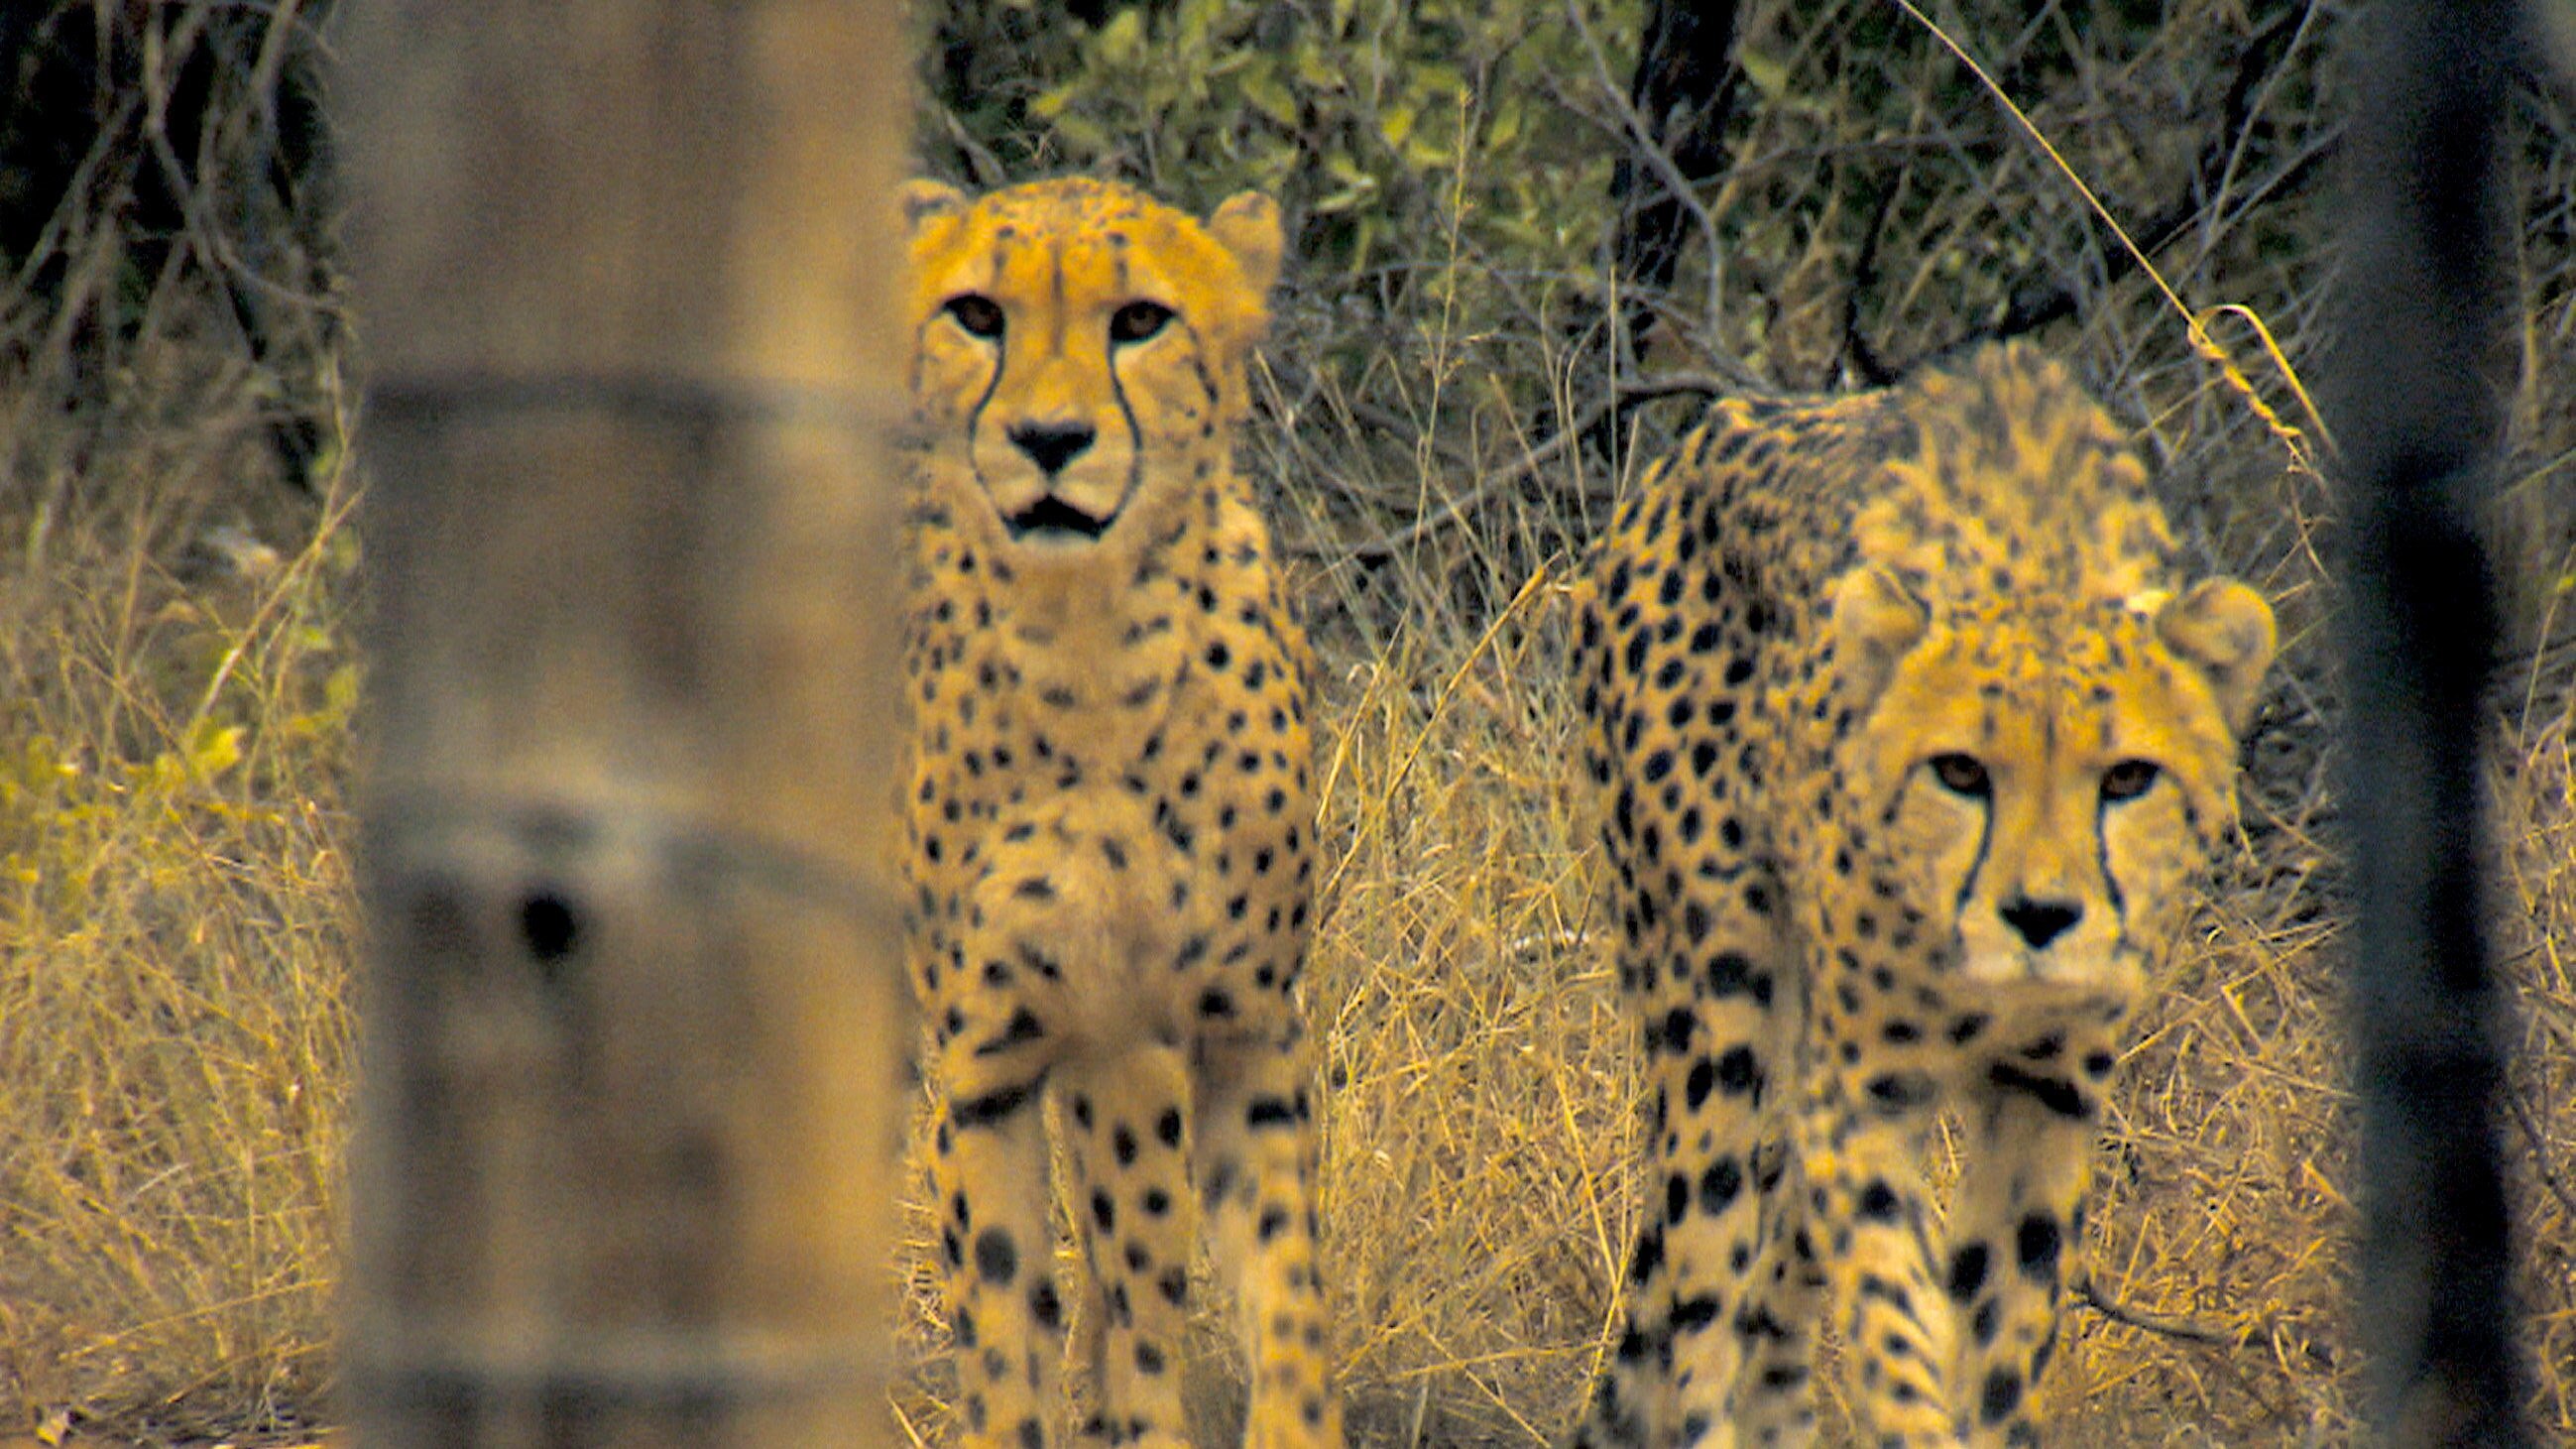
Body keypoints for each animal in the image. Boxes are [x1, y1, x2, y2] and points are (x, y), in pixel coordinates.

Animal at [901, 178, 1339, 1443]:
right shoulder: (996, 1060)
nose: (1051, 441)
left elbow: (1280, 1289)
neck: (1094, 646)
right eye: (977, 314)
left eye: (1141, 319)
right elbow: (1008, 1323)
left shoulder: (1240, 1027)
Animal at [1566, 340, 2277, 1443]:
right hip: (1715, 1014)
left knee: (1774, 1280)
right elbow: (1890, 1303)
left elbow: (2002, 1321)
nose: (2040, 917)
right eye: (1959, 771)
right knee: (1702, 1291)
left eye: (2127, 778)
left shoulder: (2049, 1092)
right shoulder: (1855, 1087)